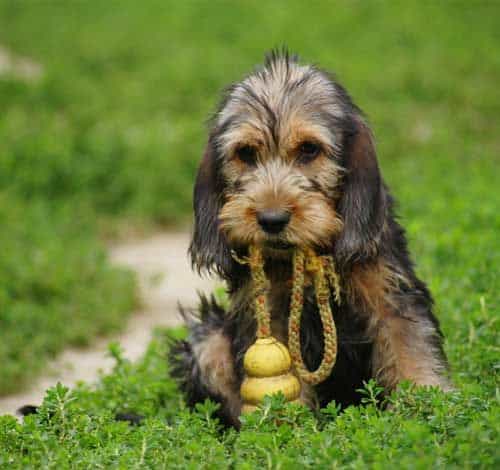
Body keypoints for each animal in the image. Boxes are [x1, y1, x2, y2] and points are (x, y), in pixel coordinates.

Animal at [170, 49, 452, 428]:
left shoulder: (390, 292)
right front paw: (281, 428)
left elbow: (411, 346)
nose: (272, 220)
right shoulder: (268, 313)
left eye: (308, 149)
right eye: (245, 153)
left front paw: (427, 404)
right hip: (209, 339)